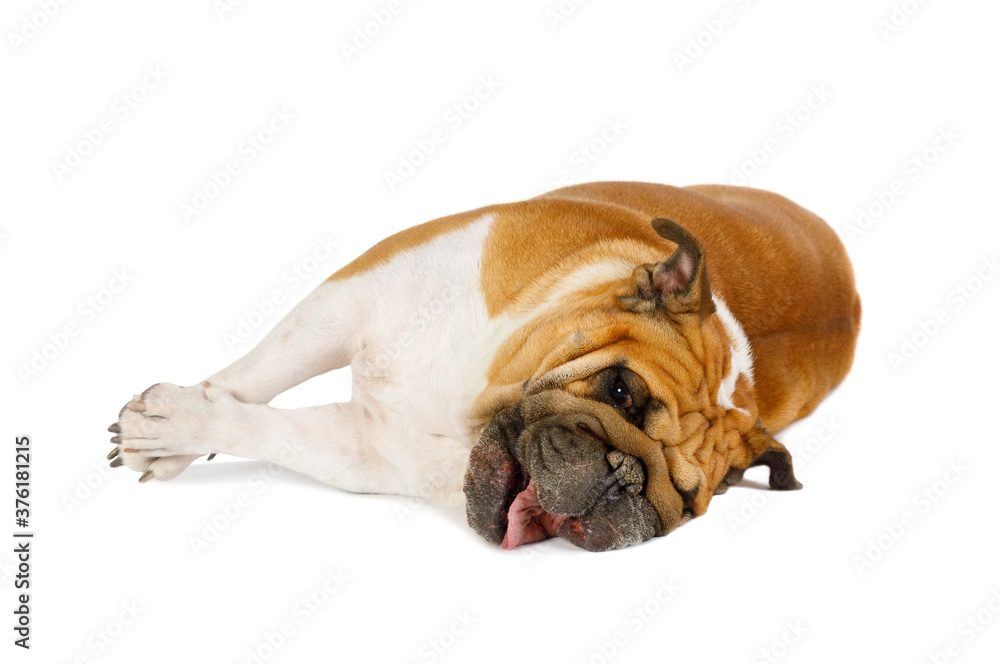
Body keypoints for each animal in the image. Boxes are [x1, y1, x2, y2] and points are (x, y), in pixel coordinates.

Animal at [107, 180, 860, 548]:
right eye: (621, 390)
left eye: (691, 499)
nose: (624, 475)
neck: (473, 389)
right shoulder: (347, 300)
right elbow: (259, 372)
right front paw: (173, 428)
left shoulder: (364, 448)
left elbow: (272, 429)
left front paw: (178, 429)